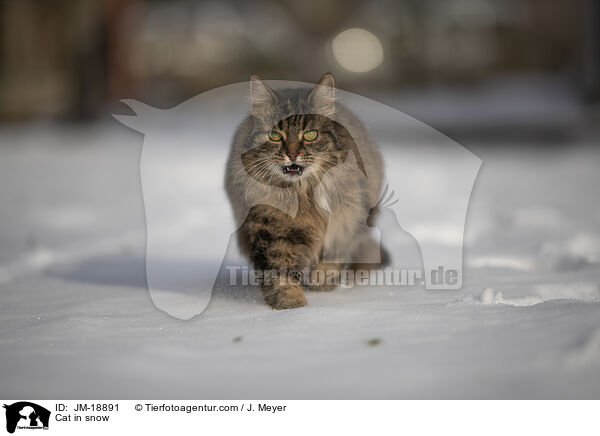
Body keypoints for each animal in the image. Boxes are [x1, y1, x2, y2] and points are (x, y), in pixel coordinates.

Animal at [225, 73, 384, 308]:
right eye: (275, 135)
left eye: (310, 135)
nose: (292, 155)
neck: (303, 195)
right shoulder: (271, 230)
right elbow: (280, 273)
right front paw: (291, 304)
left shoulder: (345, 222)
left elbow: (331, 259)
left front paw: (320, 283)